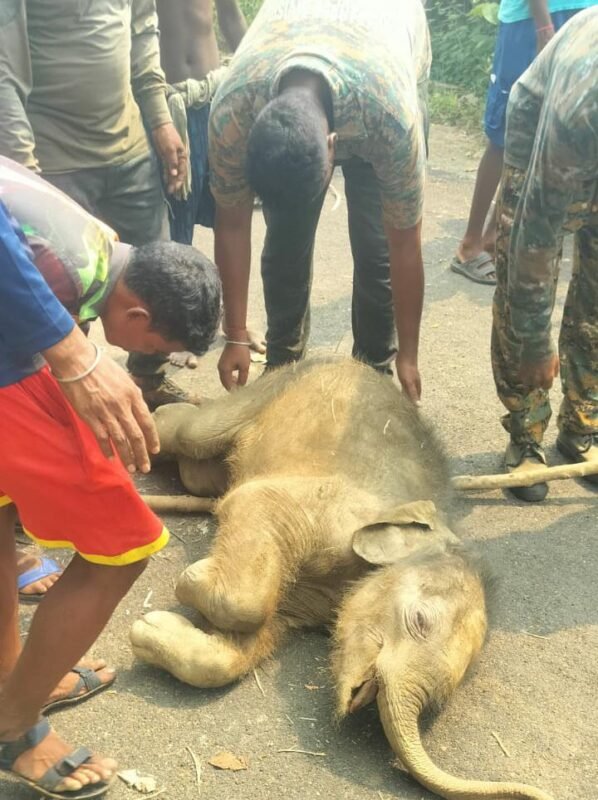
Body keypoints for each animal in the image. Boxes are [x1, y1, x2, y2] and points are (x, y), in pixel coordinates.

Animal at [134, 360, 556, 800]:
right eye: (420, 621)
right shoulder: (321, 506)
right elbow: (252, 514)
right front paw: (192, 578)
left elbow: (254, 638)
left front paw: (152, 628)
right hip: (273, 386)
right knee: (188, 431)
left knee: (198, 475)